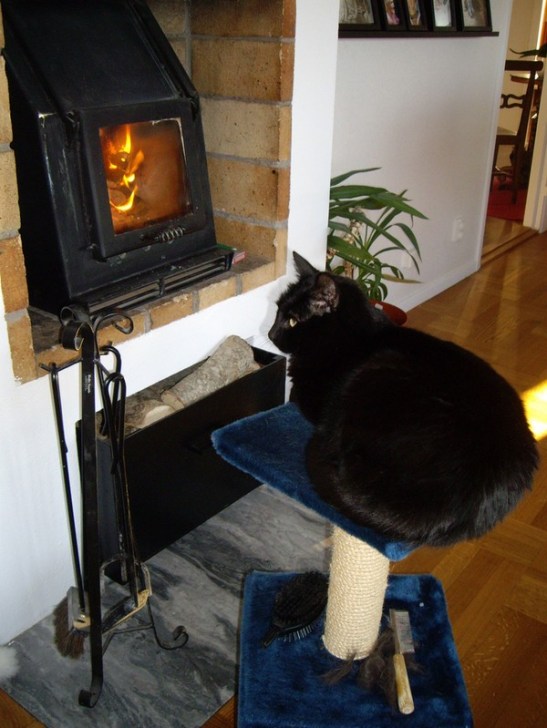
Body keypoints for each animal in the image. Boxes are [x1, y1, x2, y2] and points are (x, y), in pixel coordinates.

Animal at [268, 252, 539, 547]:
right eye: (277, 311)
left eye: (293, 321)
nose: (270, 334)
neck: (352, 336)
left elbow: (295, 396)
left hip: (376, 372)